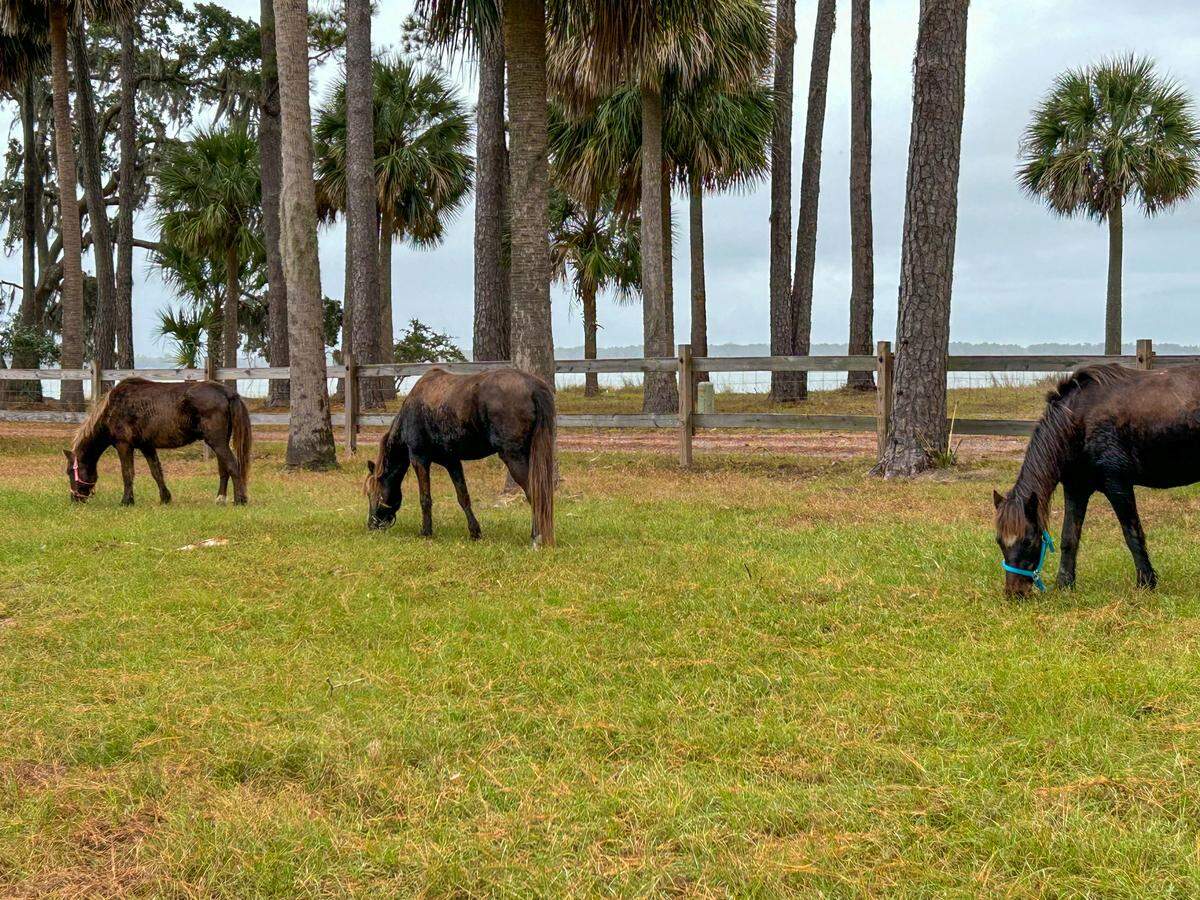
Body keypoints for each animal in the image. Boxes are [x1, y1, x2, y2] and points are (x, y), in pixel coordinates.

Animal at [65, 377, 252, 506]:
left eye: (69, 472)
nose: (74, 499)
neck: (113, 408)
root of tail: (226, 392)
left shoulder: (123, 445)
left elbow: (127, 473)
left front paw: (127, 500)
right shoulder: (147, 446)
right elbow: (156, 472)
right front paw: (165, 498)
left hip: (217, 442)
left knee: (233, 466)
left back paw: (240, 500)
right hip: (220, 441)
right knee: (224, 469)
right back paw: (221, 498)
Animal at [364, 366, 555, 546]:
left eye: (371, 492)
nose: (371, 525)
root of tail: (534, 387)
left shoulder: (419, 459)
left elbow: (425, 498)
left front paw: (426, 532)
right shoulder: (452, 462)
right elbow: (463, 497)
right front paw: (475, 532)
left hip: (513, 457)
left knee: (534, 493)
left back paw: (536, 537)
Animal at [993, 363, 1200, 595]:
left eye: (1028, 541)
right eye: (999, 541)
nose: (1015, 593)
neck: (1078, 419)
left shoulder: (1117, 485)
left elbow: (1132, 534)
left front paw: (1146, 583)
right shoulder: (1075, 488)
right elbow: (1069, 537)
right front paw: (1064, 584)